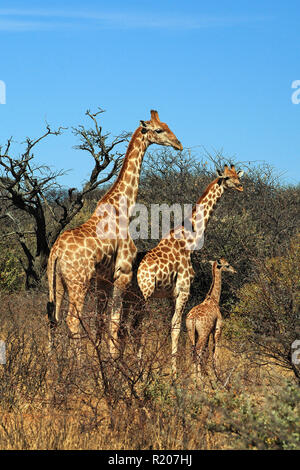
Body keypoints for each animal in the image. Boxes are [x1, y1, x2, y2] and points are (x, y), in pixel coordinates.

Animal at [47, 110, 183, 358]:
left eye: (168, 125)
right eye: (159, 130)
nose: (178, 144)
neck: (124, 207)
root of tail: (56, 252)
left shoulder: (103, 278)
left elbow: (101, 320)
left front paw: (100, 355)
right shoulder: (123, 272)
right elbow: (115, 320)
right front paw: (110, 359)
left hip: (57, 282)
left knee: (54, 317)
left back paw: (53, 360)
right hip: (79, 281)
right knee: (72, 319)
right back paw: (77, 363)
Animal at [137, 165, 243, 378]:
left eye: (237, 175)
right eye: (227, 177)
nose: (240, 186)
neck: (190, 241)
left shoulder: (171, 294)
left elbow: (173, 326)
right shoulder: (184, 290)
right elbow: (177, 327)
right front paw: (175, 373)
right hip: (145, 294)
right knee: (138, 325)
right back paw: (137, 369)